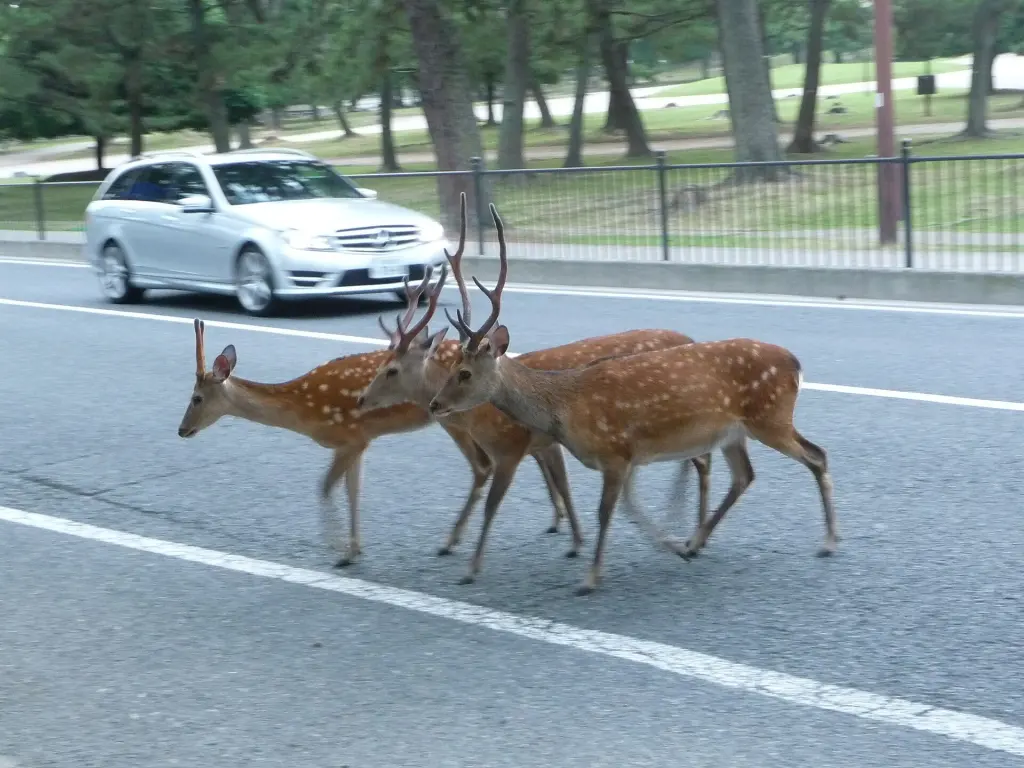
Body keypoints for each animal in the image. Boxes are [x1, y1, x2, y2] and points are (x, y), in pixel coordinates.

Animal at [176, 316, 579, 569]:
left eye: (196, 397)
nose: (181, 430)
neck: (302, 411)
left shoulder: (348, 437)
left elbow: (326, 487)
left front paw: (338, 551)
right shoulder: (361, 441)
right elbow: (353, 491)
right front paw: (355, 549)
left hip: (455, 419)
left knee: (488, 464)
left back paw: (456, 540)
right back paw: (556, 519)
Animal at [354, 200, 712, 583]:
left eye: (390, 370)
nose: (361, 398)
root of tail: (690, 338)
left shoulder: (517, 446)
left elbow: (506, 495)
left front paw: (466, 557)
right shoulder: (543, 443)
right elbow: (556, 483)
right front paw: (570, 536)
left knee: (702, 460)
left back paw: (694, 535)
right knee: (695, 459)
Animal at [427, 202, 838, 596]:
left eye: (464, 373)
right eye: (451, 367)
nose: (434, 404)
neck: (563, 408)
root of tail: (795, 363)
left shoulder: (614, 451)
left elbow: (606, 511)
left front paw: (590, 579)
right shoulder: (630, 454)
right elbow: (630, 506)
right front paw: (670, 546)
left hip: (770, 416)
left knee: (816, 455)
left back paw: (829, 541)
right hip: (733, 431)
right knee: (745, 475)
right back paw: (695, 542)